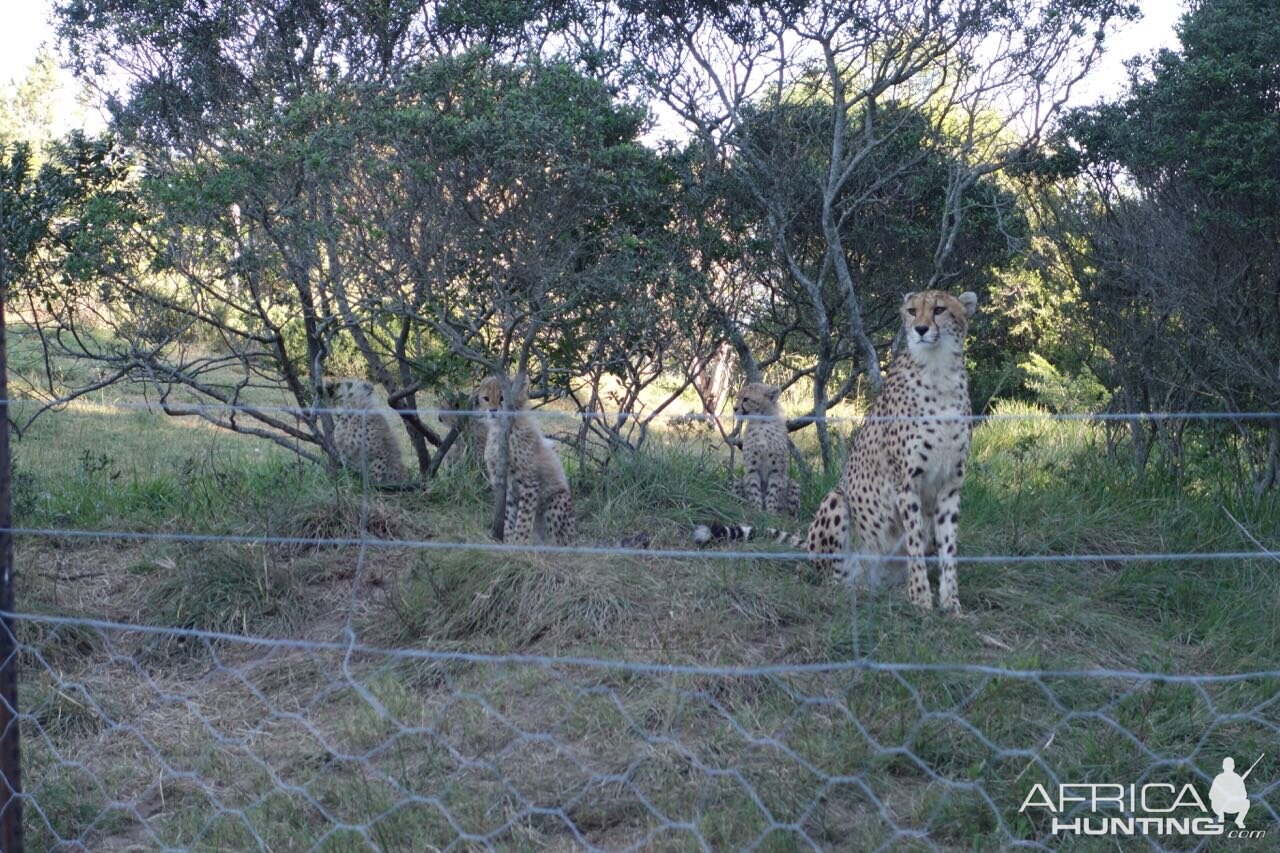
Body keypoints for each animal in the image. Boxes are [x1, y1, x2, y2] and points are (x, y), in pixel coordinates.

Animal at [476, 373, 576, 545]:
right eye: (486, 398)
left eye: (503, 398)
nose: (493, 410)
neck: (502, 430)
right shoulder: (507, 484)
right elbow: (510, 516)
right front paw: (509, 541)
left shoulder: (530, 482)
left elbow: (524, 518)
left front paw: (519, 543)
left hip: (558, 499)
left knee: (558, 538)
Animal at [696, 292, 972, 612]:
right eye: (912, 311)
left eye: (940, 310)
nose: (921, 329)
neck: (938, 373)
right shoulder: (907, 484)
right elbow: (914, 541)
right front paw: (922, 601)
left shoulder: (950, 486)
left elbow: (948, 549)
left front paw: (951, 605)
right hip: (836, 500)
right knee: (828, 577)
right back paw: (854, 590)